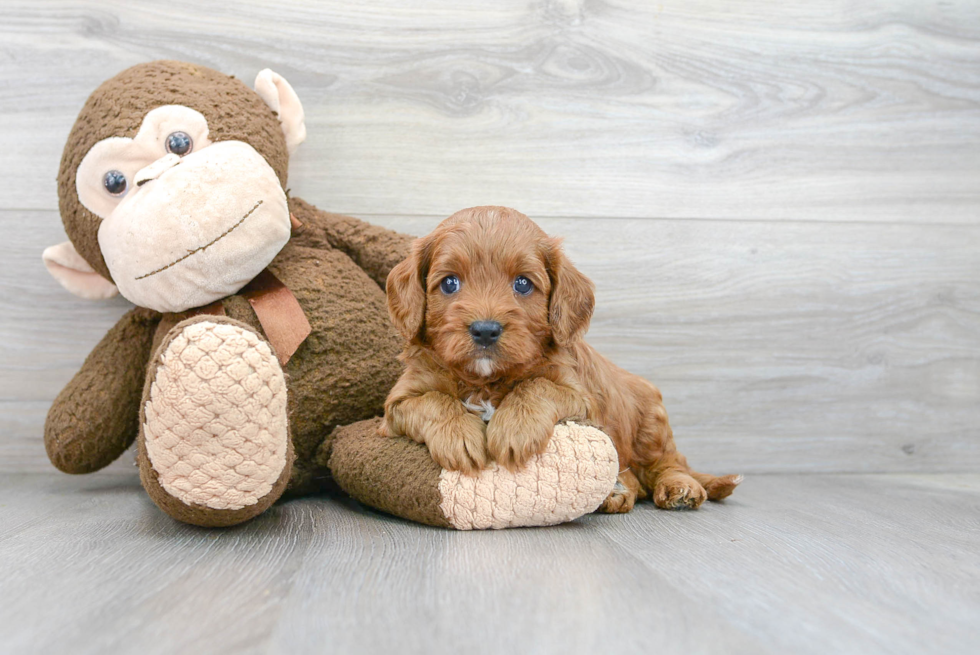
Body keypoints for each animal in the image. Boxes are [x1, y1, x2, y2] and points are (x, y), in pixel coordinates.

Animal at [378, 206, 740, 512]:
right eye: (450, 283)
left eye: (523, 283)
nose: (485, 330)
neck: (486, 379)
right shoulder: (396, 407)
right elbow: (433, 400)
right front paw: (459, 437)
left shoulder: (583, 399)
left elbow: (537, 386)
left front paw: (514, 429)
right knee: (637, 479)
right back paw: (618, 490)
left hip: (651, 421)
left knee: (665, 463)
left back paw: (679, 487)